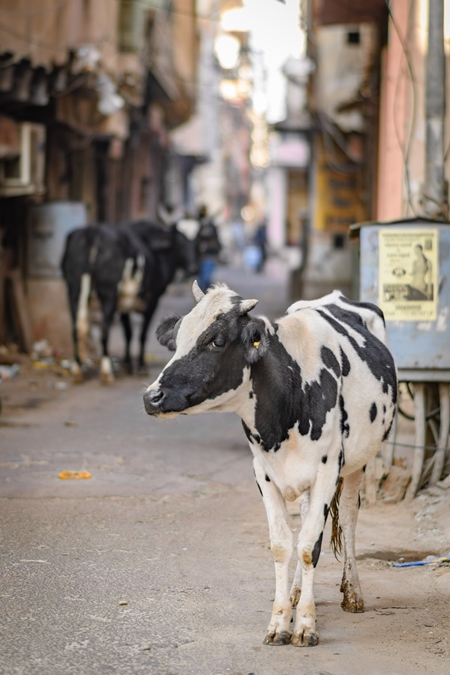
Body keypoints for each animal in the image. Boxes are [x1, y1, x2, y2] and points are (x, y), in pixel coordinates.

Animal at [60, 220, 198, 382]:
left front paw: (127, 365)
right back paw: (107, 371)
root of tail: (92, 231)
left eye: (195, 244)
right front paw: (141, 367)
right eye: (180, 243)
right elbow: (142, 335)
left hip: (73, 290)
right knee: (104, 330)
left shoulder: (123, 306)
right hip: (108, 294)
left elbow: (128, 333)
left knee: (76, 329)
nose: (194, 268)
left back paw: (77, 370)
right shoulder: (152, 302)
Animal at [142, 282, 396, 648]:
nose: (151, 397)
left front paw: (305, 625)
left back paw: (352, 593)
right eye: (176, 340)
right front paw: (280, 621)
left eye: (217, 341)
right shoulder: (263, 472)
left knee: (348, 518)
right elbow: (282, 545)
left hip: (357, 464)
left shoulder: (328, 469)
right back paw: (296, 592)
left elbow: (309, 547)